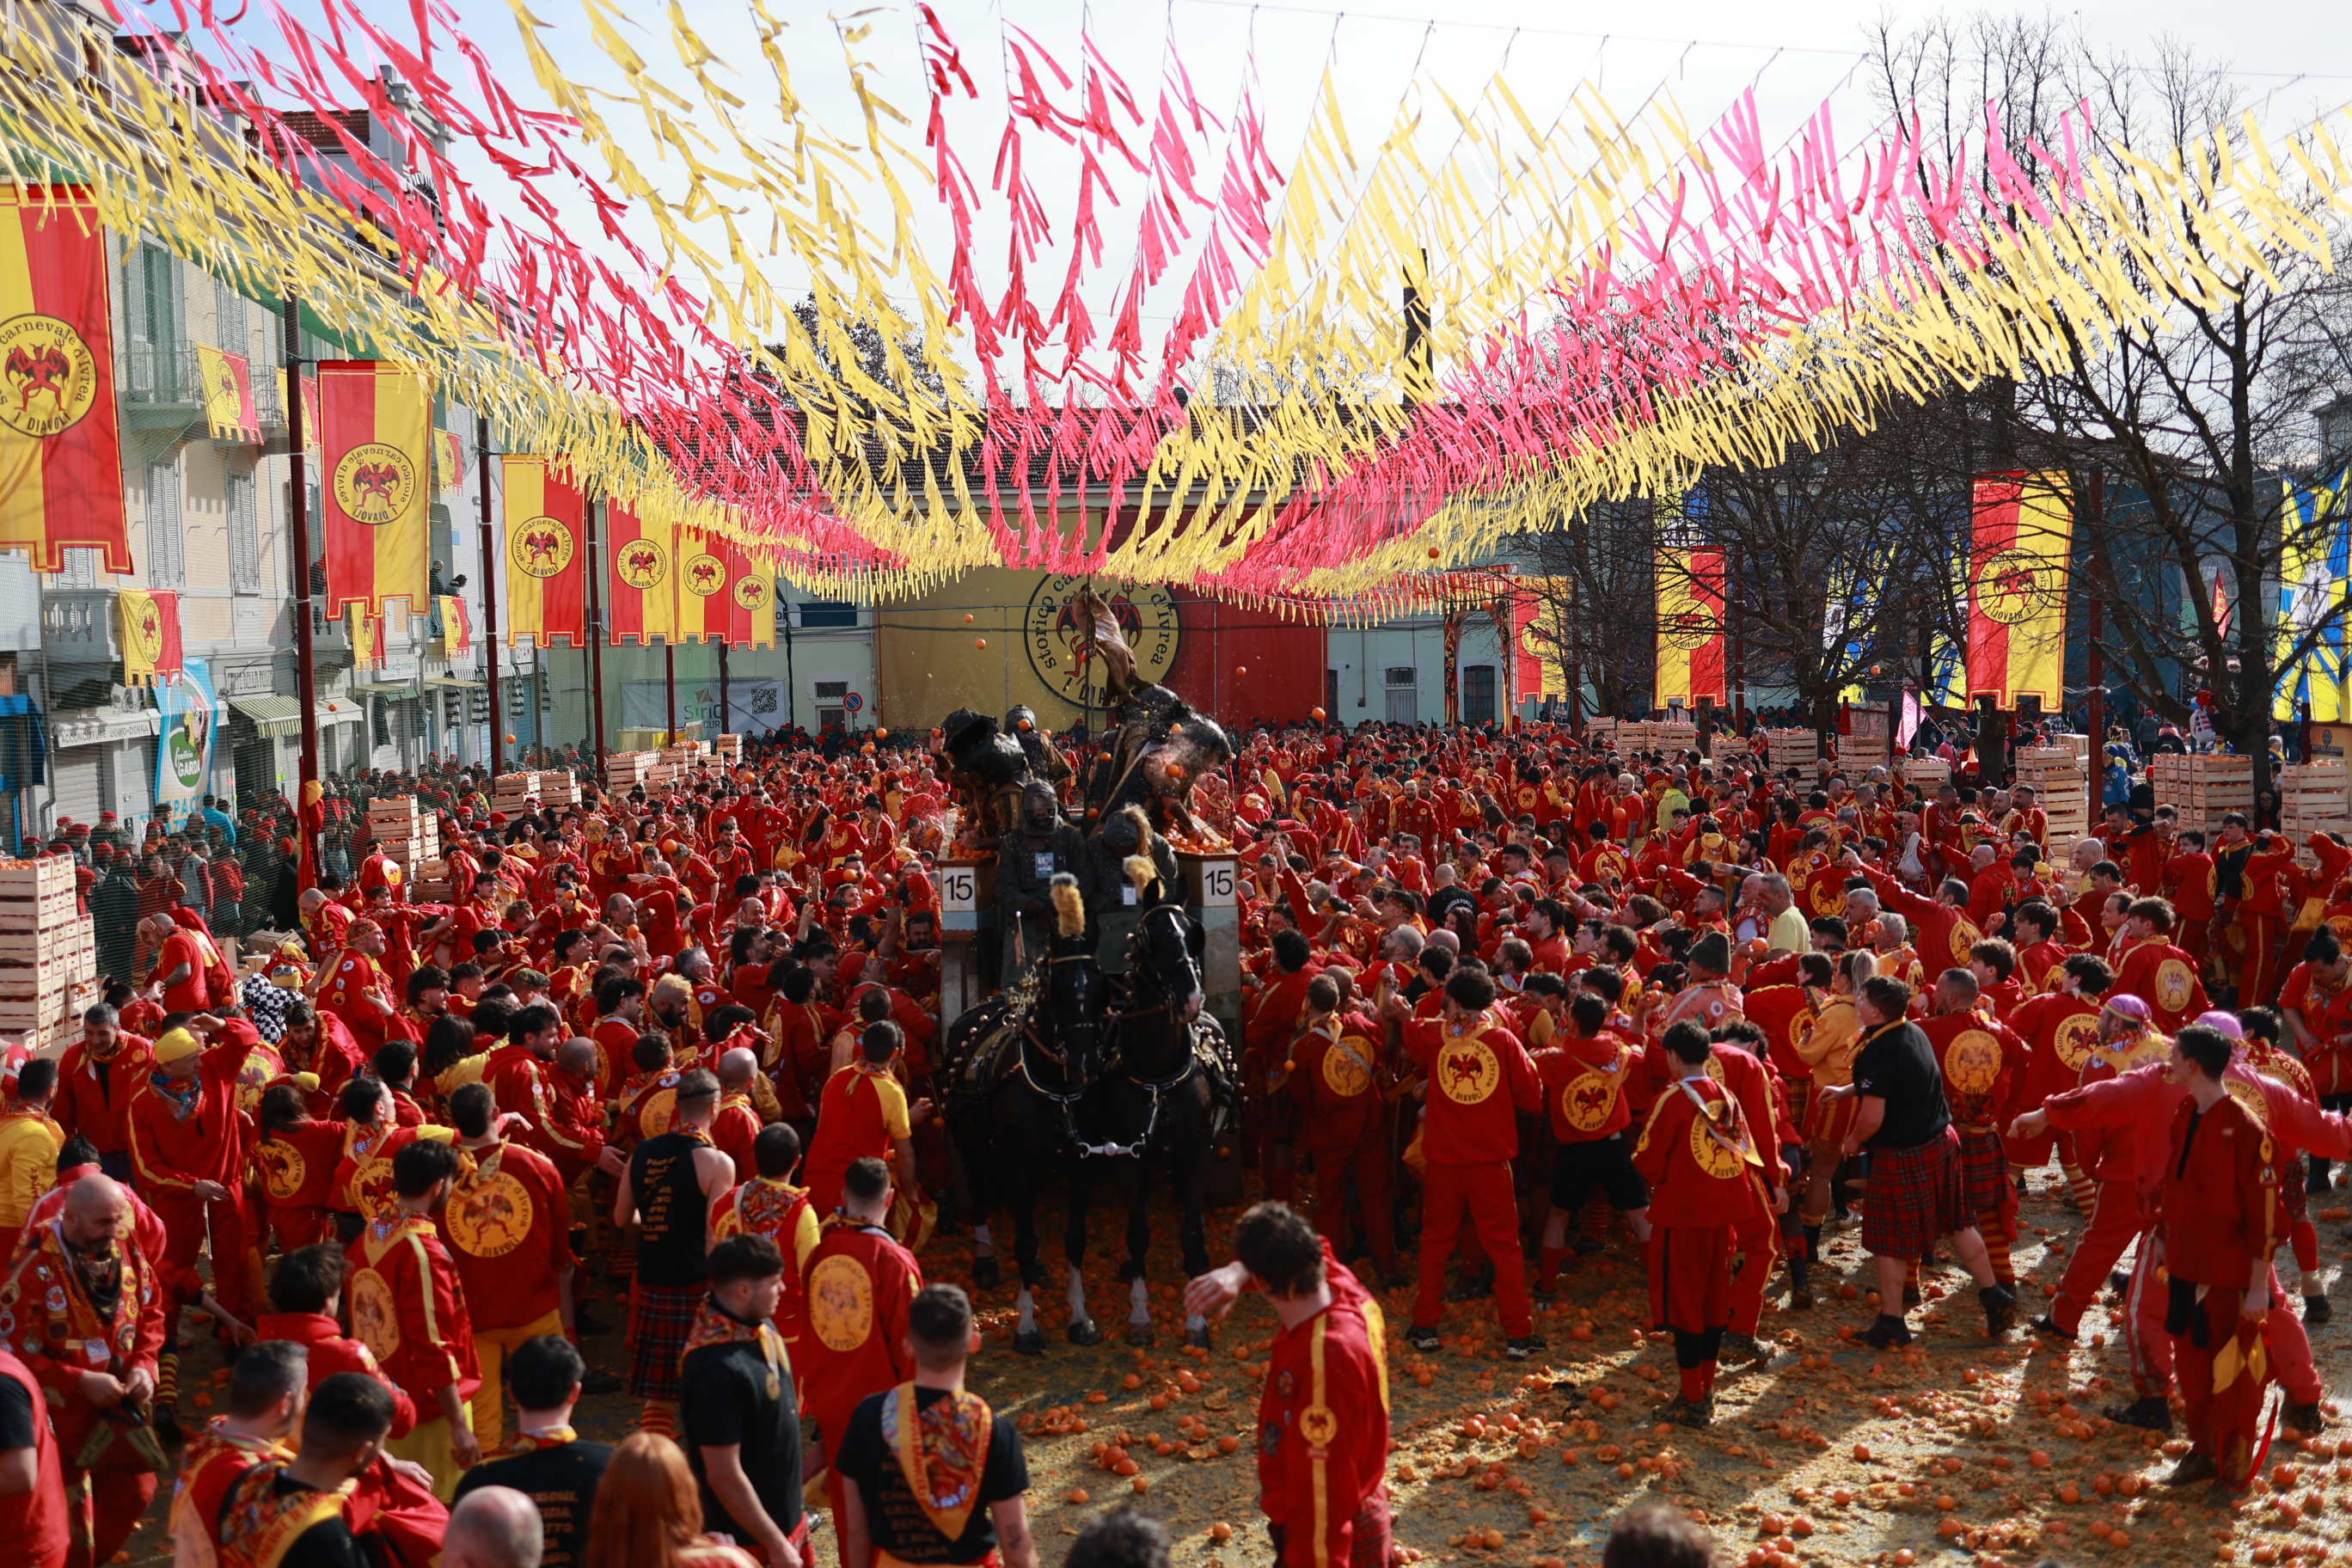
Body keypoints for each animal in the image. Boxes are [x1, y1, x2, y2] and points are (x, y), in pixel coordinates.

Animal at [939, 888, 1117, 1352]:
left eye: (1100, 985)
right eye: (1056, 987)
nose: (1086, 1063)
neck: (1057, 1086)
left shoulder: (1083, 1164)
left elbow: (1074, 1239)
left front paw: (1081, 1318)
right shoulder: (1019, 1165)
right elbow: (1023, 1239)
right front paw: (1027, 1326)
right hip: (969, 1142)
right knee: (980, 1191)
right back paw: (986, 1260)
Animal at [1087, 894, 1231, 1347]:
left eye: (1191, 933)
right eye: (1150, 939)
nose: (1191, 999)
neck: (1158, 1076)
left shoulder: (1198, 1153)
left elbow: (1190, 1231)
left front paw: (1197, 1320)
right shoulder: (1127, 1158)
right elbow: (1138, 1231)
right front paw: (1140, 1315)